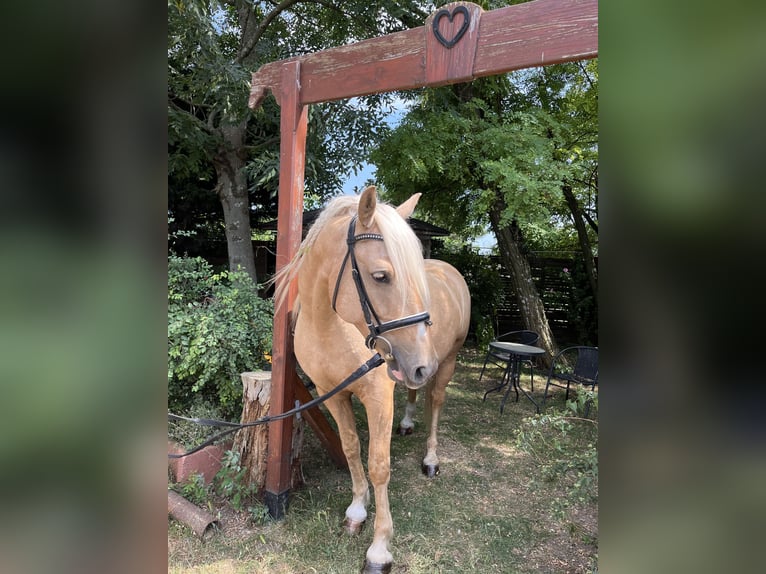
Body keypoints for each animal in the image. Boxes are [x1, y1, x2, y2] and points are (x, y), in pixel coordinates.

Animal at [276, 187, 468, 572]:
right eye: (381, 276)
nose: (423, 364)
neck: (331, 327)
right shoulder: (332, 394)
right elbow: (351, 448)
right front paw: (356, 511)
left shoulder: (378, 397)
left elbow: (379, 466)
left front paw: (379, 548)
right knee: (413, 393)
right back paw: (407, 423)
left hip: (447, 362)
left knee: (435, 403)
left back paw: (431, 460)